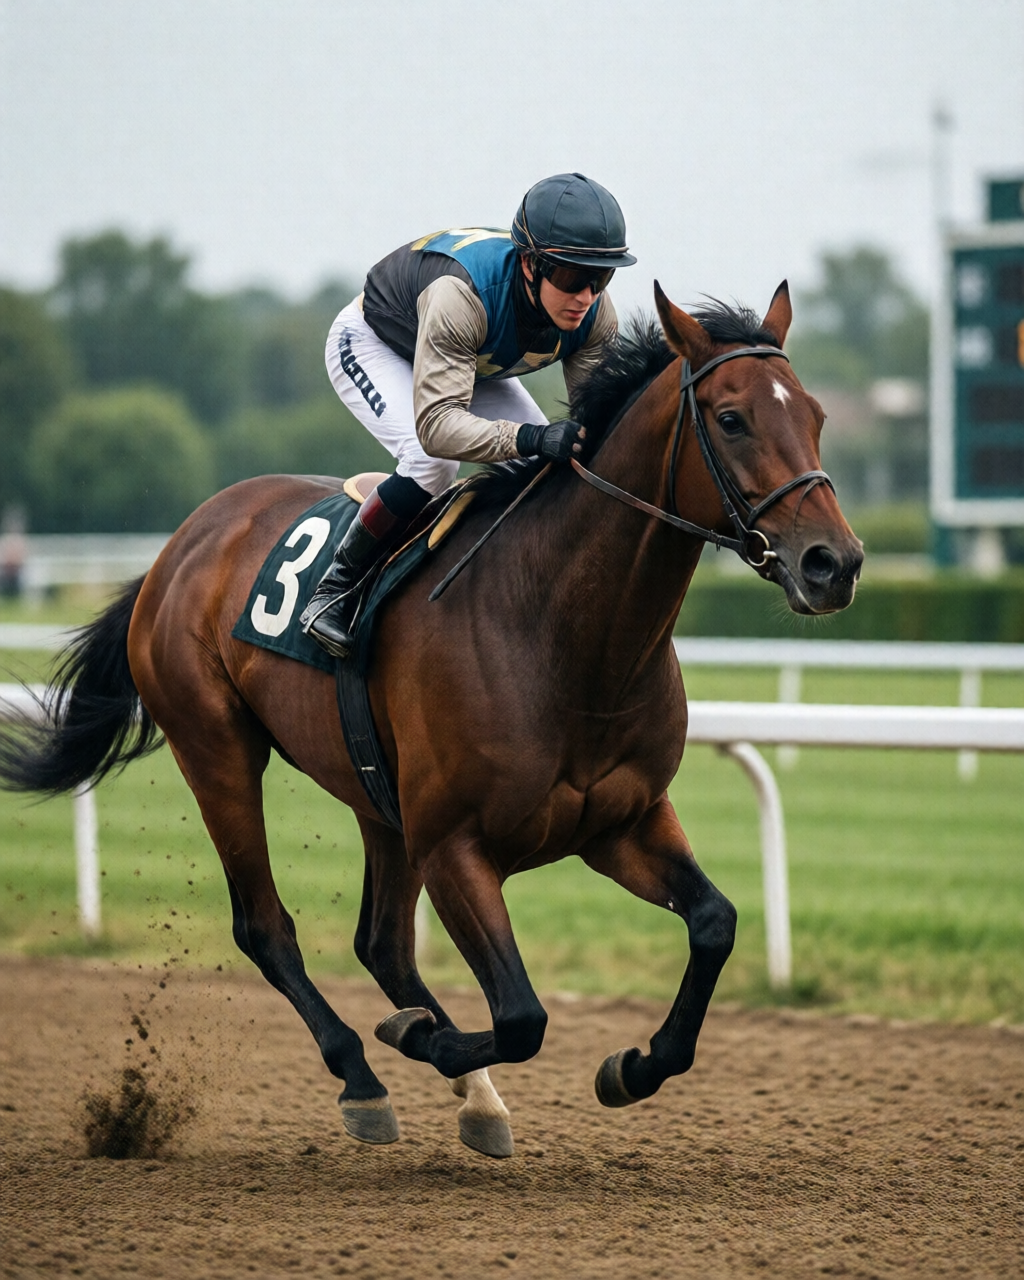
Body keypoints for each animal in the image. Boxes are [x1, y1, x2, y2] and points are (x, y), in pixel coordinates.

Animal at [0, 282, 862, 1158]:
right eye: (732, 418)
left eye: (817, 414)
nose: (835, 563)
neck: (563, 633)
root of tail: (182, 543)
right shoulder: (455, 843)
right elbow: (521, 1015)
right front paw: (420, 1037)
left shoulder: (622, 822)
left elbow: (714, 923)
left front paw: (630, 1067)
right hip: (216, 748)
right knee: (267, 928)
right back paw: (364, 1075)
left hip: (377, 795)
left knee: (380, 941)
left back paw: (473, 1096)